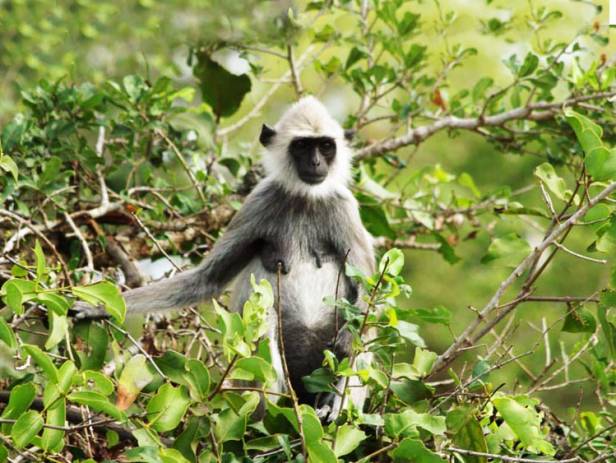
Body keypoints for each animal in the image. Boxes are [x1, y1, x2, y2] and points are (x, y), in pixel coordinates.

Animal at [77, 96, 376, 416]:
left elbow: (370, 292)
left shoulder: (343, 208)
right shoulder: (258, 202)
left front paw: (347, 341)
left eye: (326, 146)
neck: (304, 197)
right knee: (263, 319)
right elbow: (207, 279)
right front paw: (98, 307)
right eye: (303, 146)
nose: (316, 162)